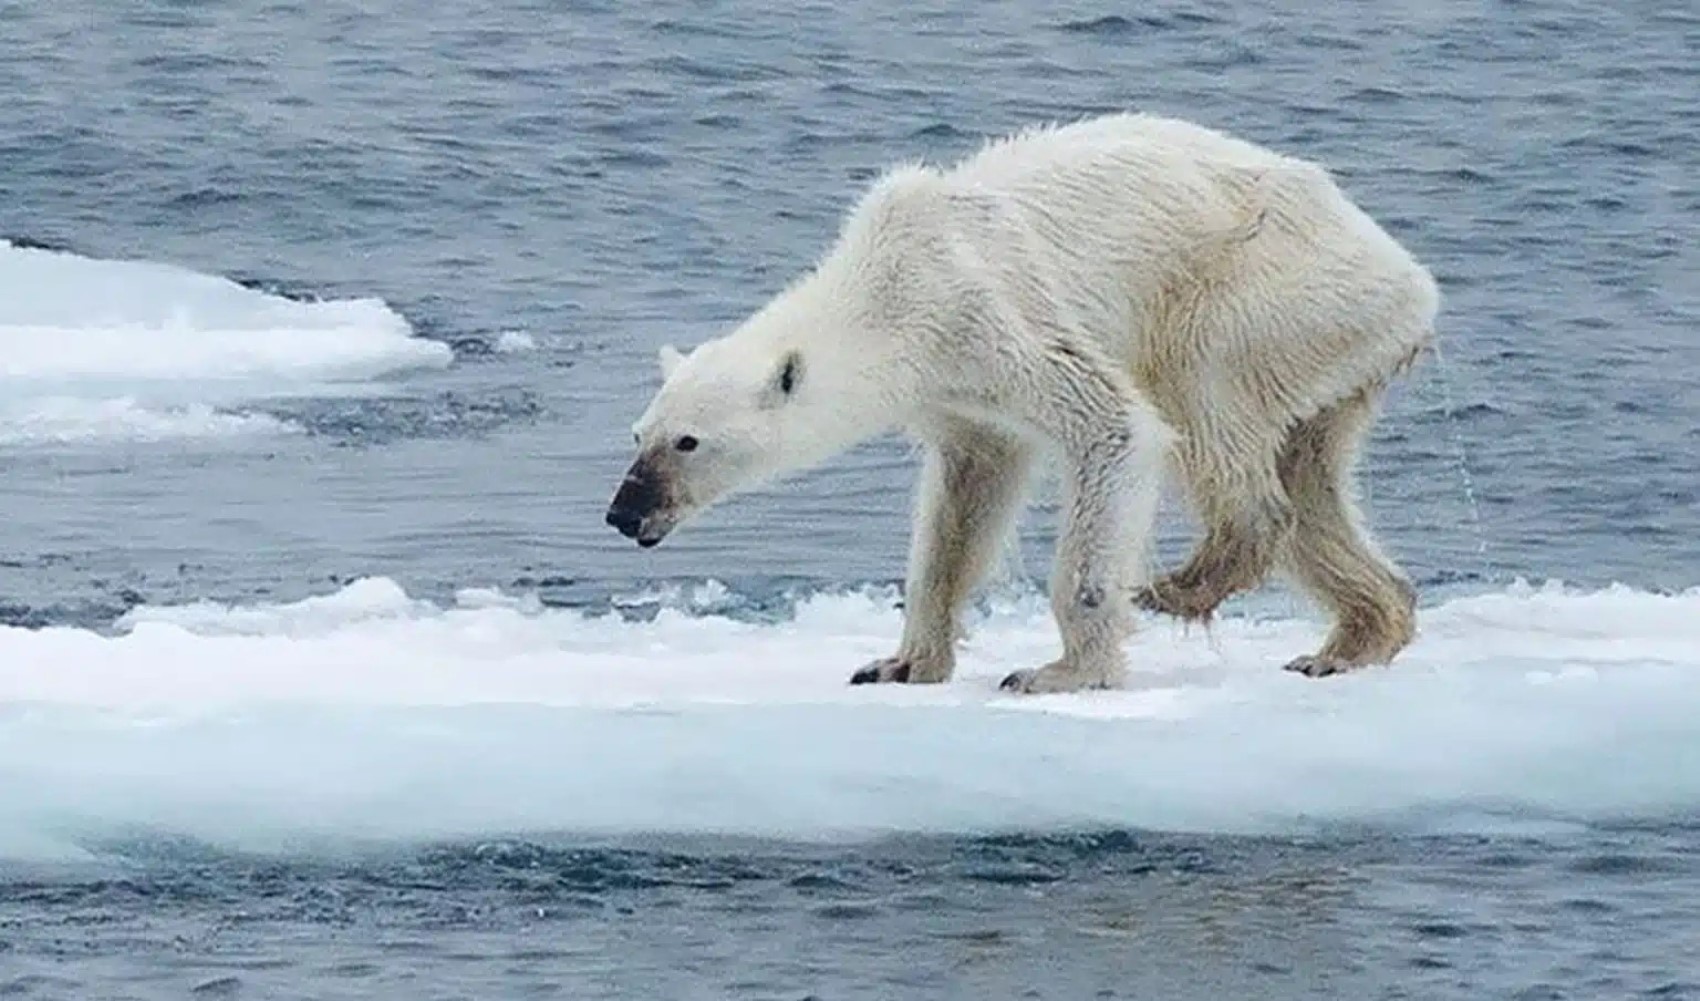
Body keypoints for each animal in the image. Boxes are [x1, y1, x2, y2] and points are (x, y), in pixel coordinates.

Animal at [608, 109, 1434, 686]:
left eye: (688, 441)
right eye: (638, 434)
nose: (624, 512)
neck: (889, 285)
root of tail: (1412, 281)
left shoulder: (990, 313)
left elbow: (1115, 426)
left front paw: (1060, 670)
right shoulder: (954, 391)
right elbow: (965, 498)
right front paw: (899, 662)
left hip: (1266, 291)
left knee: (1206, 395)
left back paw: (1183, 582)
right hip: (1331, 352)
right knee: (1312, 478)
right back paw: (1351, 639)